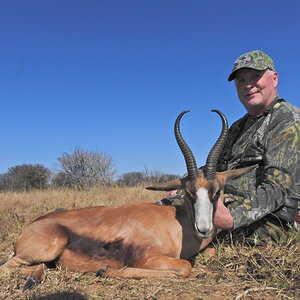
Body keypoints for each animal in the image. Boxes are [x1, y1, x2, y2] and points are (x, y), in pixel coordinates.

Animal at [0, 110, 254, 288]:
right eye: (189, 192)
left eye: (216, 191)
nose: (204, 229)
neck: (176, 224)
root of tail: (30, 229)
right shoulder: (149, 259)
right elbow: (185, 267)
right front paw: (105, 270)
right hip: (47, 248)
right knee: (7, 267)